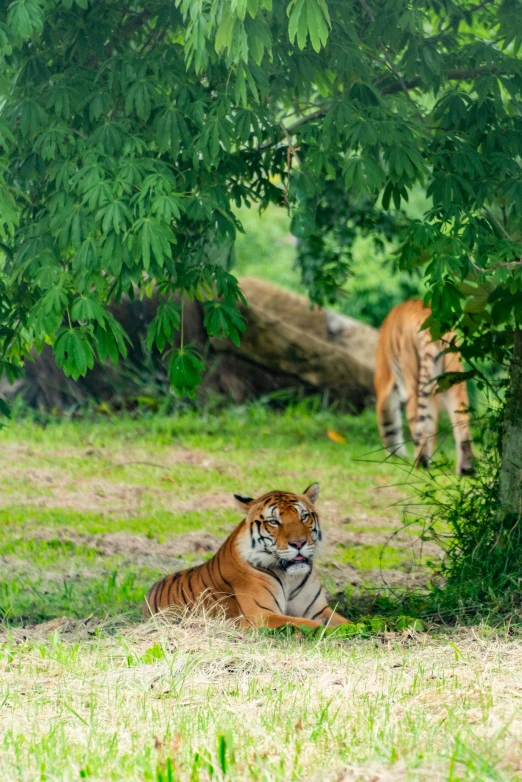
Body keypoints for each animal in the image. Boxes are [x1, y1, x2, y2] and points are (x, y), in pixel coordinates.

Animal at [142, 484, 348, 632]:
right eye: (274, 522)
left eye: (304, 517)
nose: (299, 543)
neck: (290, 577)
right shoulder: (262, 614)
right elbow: (308, 624)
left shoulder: (317, 610)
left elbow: (345, 622)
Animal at [372, 298, 474, 474]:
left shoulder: (384, 383)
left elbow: (388, 420)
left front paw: (395, 455)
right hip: (454, 382)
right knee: (460, 423)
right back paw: (467, 469)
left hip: (414, 382)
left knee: (419, 424)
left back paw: (419, 464)